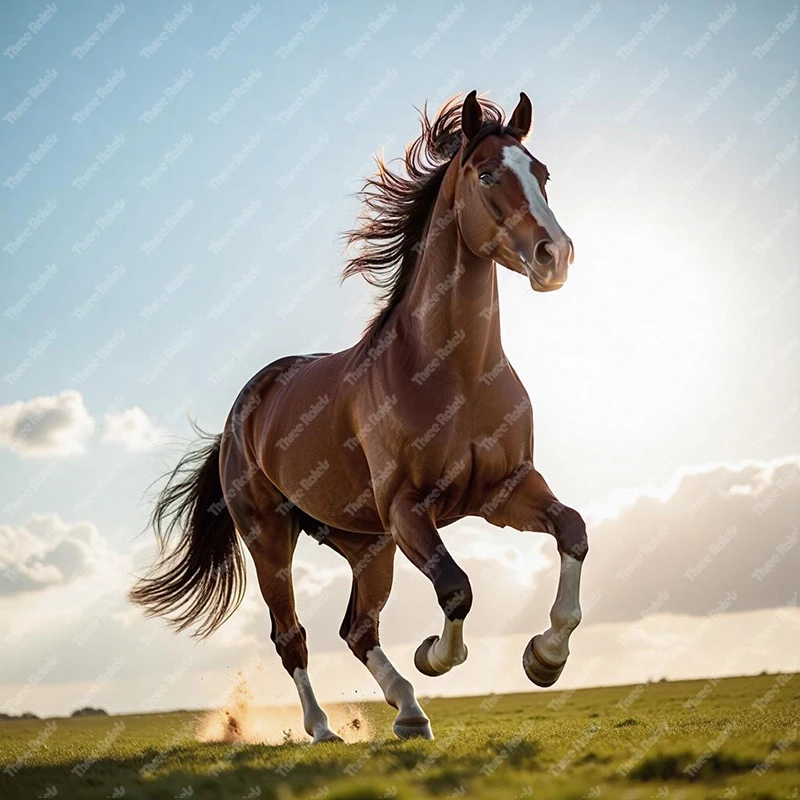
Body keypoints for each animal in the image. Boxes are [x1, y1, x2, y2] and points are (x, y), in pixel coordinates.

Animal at [131, 90, 587, 743]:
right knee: (291, 635)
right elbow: (457, 589)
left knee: (357, 629)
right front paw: (436, 656)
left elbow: (572, 530)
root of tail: (241, 414)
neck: (453, 371)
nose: (556, 256)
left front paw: (545, 658)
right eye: (487, 174)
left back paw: (410, 712)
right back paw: (324, 727)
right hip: (272, 539)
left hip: (367, 544)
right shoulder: (408, 509)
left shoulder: (505, 491)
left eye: (542, 174)